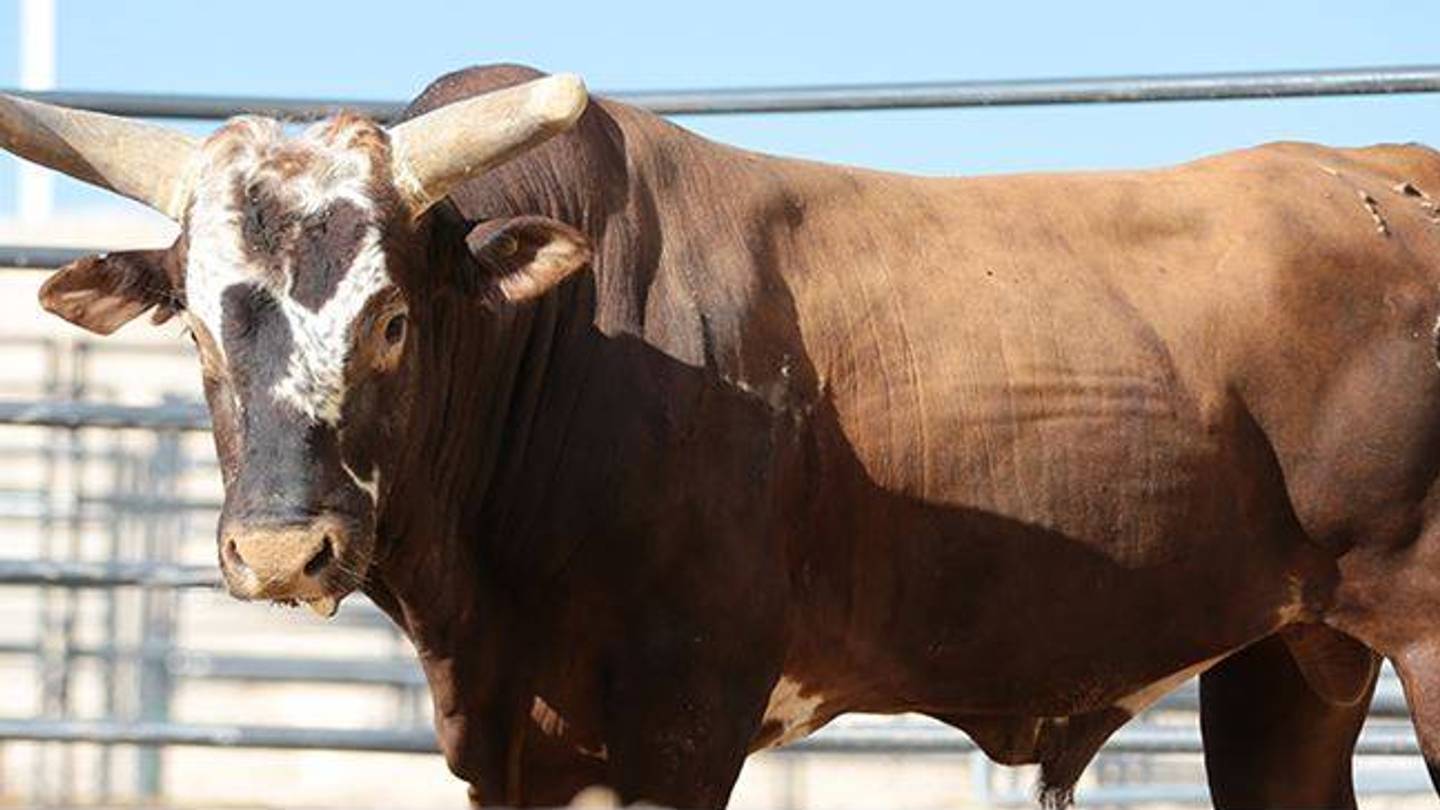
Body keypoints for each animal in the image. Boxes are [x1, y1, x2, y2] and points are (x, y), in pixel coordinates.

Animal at [4, 63, 1440, 808]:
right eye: (198, 327)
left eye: (395, 318)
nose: (282, 551)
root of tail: (1387, 170)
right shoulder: (520, 741)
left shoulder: (685, 718)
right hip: (1288, 654)